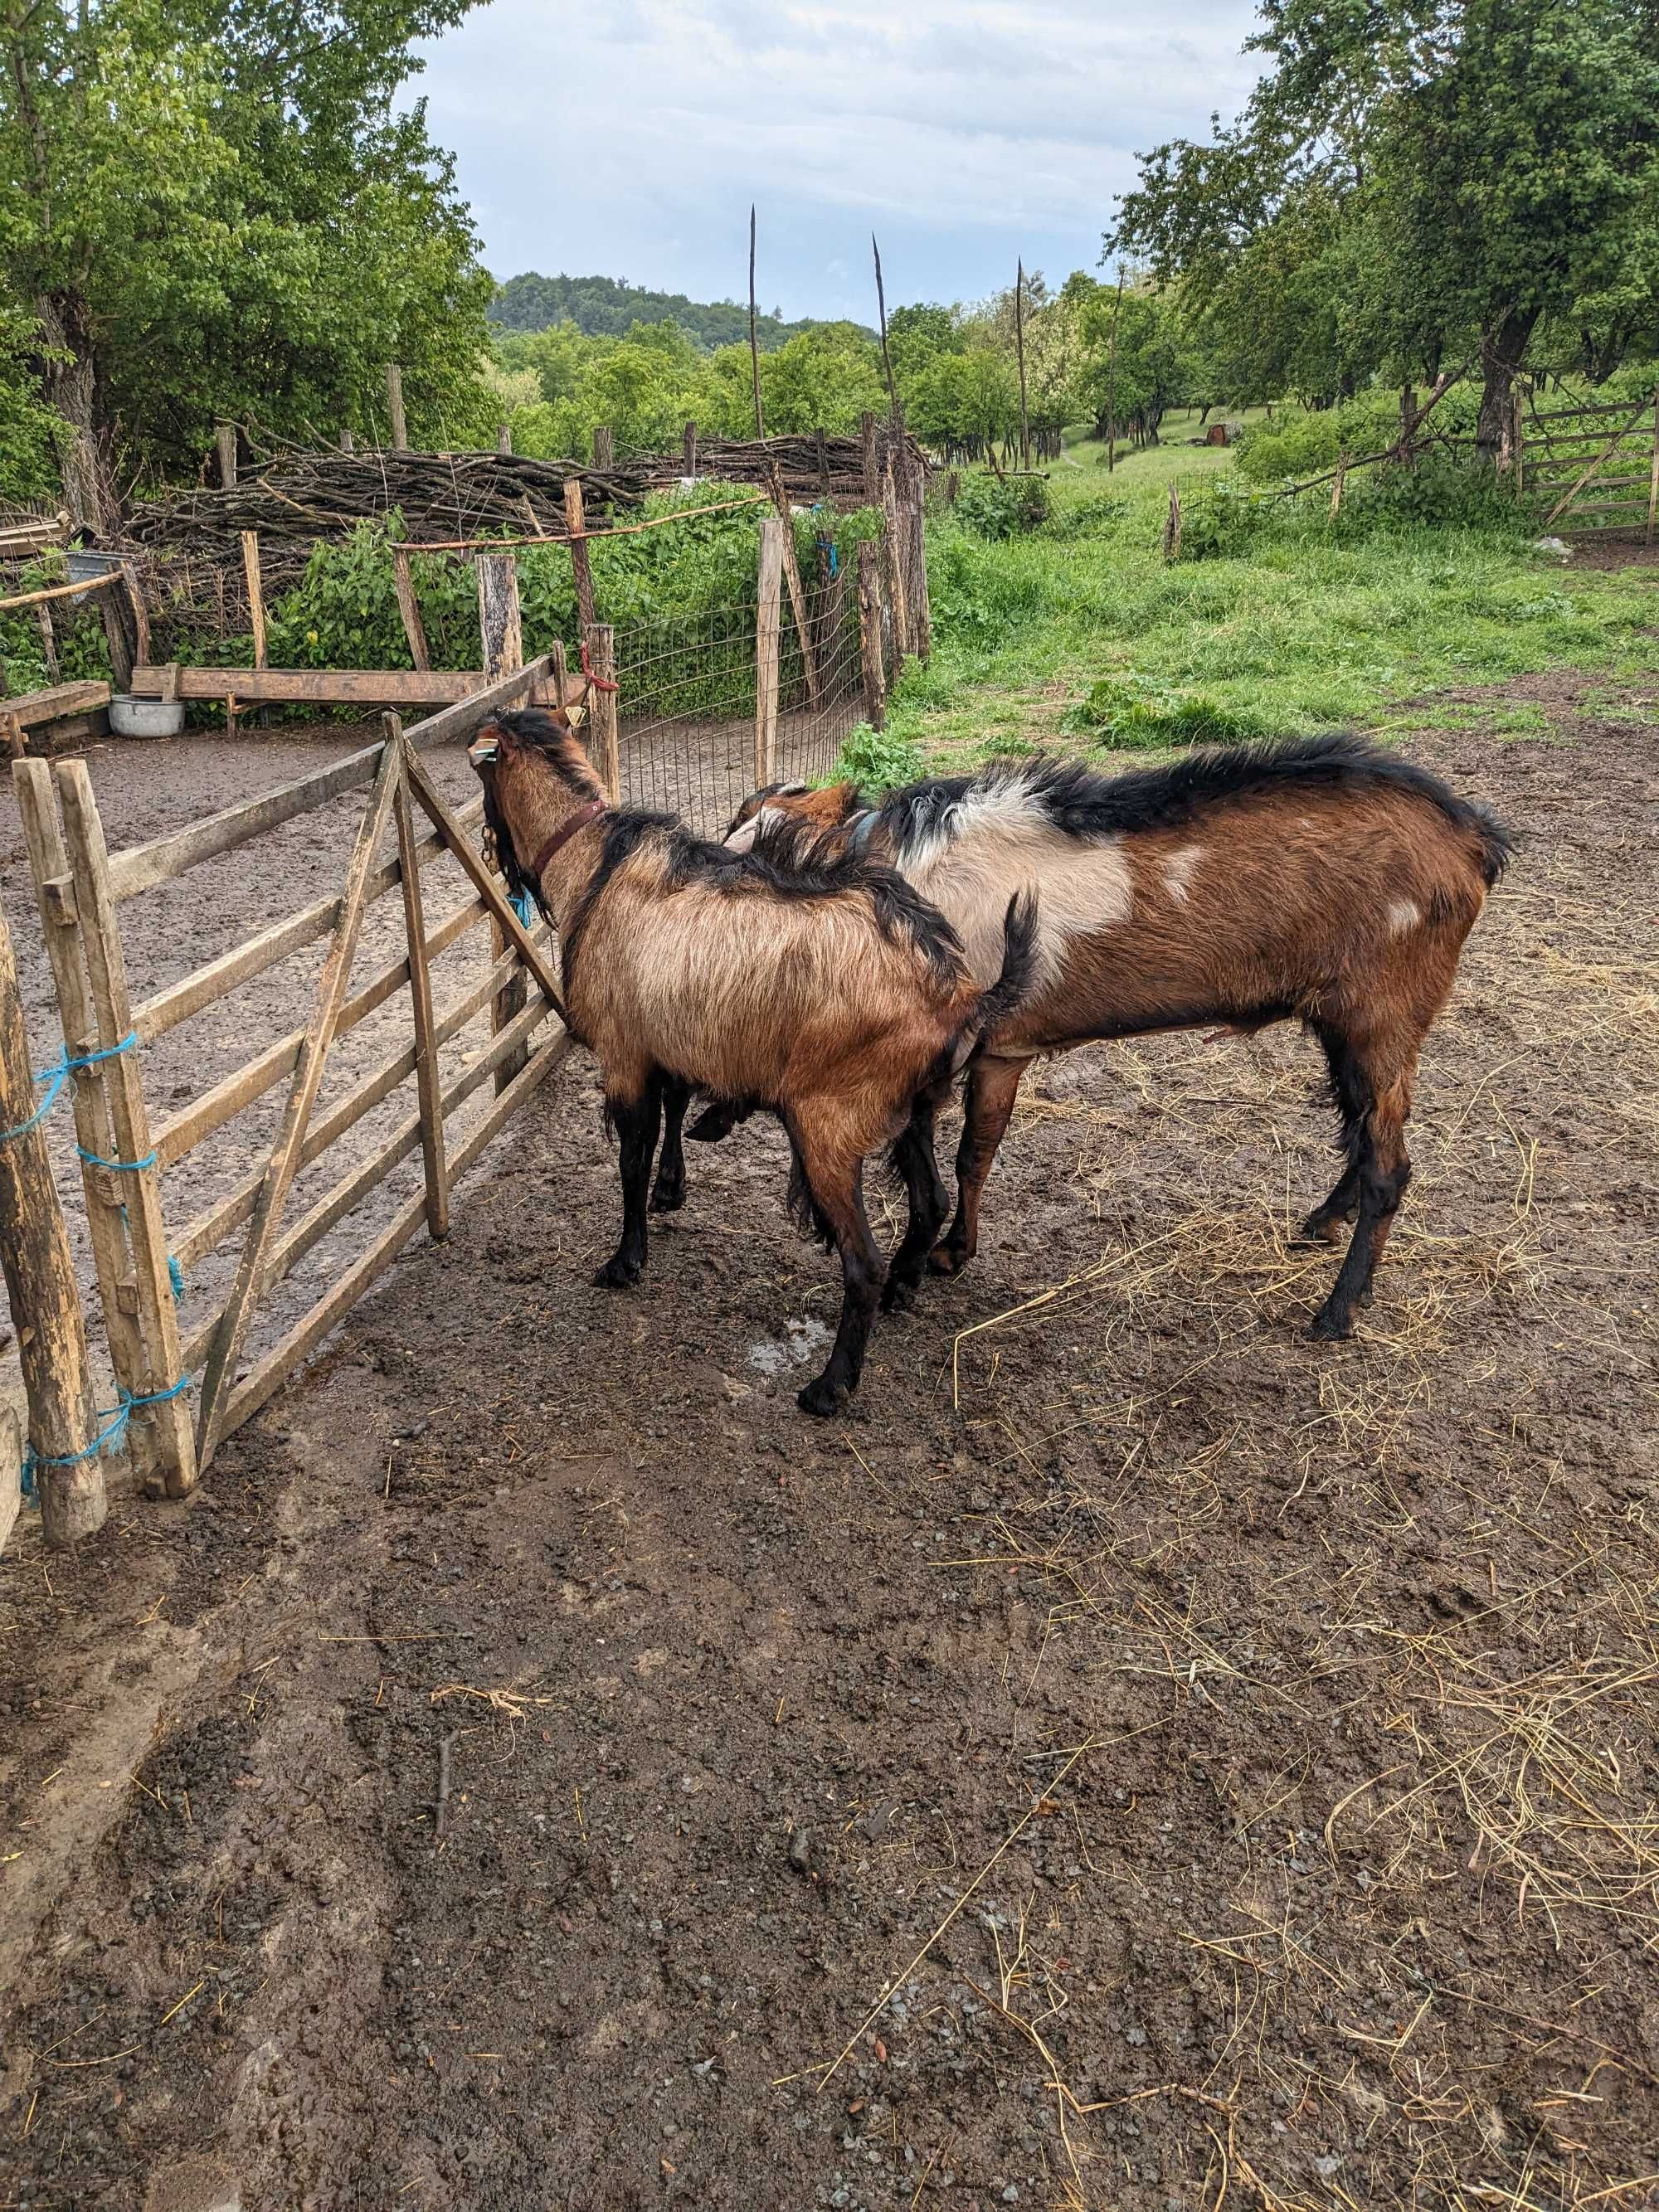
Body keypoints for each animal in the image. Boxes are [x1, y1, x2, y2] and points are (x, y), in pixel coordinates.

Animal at [721, 734, 1513, 1335]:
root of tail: (1474, 838)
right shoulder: (1001, 1051)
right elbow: (977, 1155)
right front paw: (955, 1254)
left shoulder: (936, 1058)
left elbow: (925, 1181)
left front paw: (908, 1277)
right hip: (1342, 1018)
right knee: (1360, 1129)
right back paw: (1320, 1221)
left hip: (1385, 1011)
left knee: (1389, 1167)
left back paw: (1336, 1312)